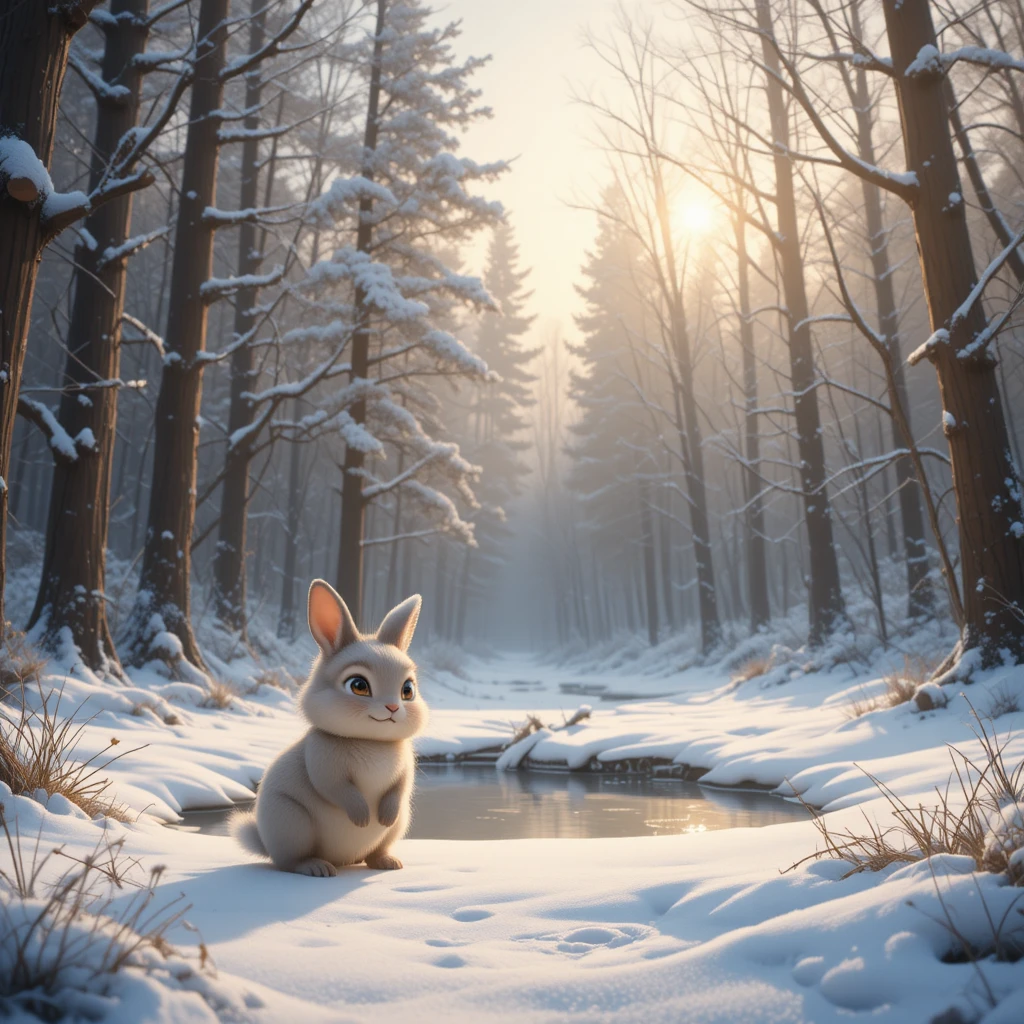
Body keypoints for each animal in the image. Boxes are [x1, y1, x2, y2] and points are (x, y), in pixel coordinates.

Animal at [230, 580, 427, 876]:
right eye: (358, 685)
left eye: (408, 690)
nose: (393, 708)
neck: (371, 741)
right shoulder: (323, 760)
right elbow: (335, 788)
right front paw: (362, 817)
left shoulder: (405, 768)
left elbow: (400, 787)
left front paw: (383, 816)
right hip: (292, 822)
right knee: (289, 861)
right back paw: (316, 867)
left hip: (400, 824)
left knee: (376, 849)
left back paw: (387, 861)